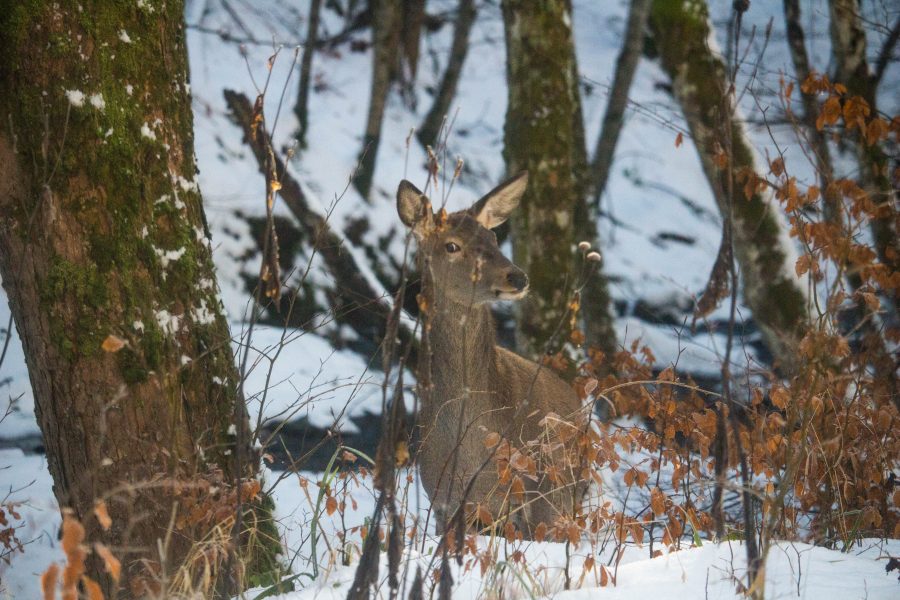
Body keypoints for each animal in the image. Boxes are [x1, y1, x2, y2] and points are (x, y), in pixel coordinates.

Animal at [400, 171, 584, 536]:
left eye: (494, 236)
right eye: (451, 245)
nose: (517, 276)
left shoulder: (537, 494)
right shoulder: (443, 500)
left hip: (565, 490)